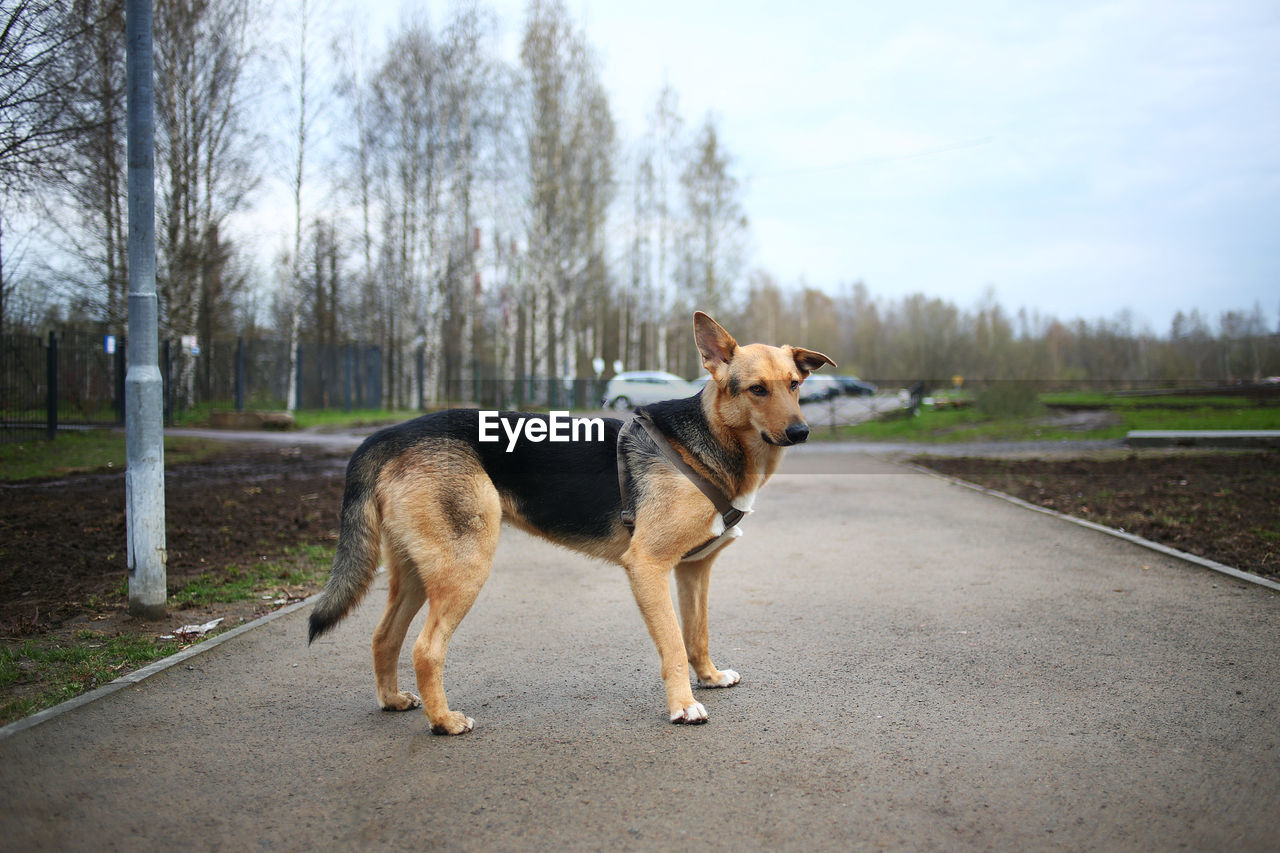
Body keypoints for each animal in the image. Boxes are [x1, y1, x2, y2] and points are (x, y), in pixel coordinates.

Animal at [304, 312, 834, 732]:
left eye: (795, 385)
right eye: (757, 390)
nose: (801, 432)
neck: (712, 440)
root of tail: (390, 434)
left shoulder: (693, 571)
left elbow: (696, 635)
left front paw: (709, 677)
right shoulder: (648, 567)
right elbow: (672, 646)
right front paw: (684, 705)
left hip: (417, 573)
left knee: (384, 637)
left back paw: (393, 700)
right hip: (465, 568)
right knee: (425, 649)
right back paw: (445, 722)